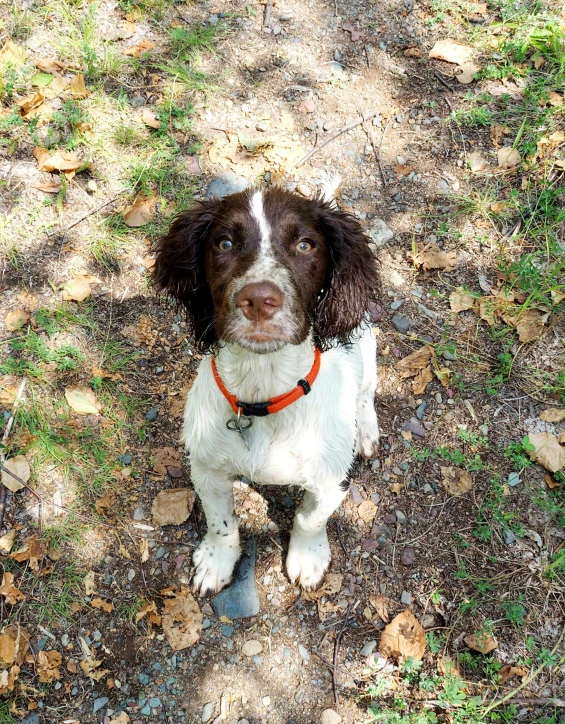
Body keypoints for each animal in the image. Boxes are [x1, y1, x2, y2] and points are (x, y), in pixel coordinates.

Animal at [152, 180, 378, 592]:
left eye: (305, 245)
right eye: (224, 243)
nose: (258, 299)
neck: (264, 393)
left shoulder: (329, 480)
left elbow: (310, 520)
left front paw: (308, 558)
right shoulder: (206, 469)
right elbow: (221, 521)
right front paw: (217, 561)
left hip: (367, 343)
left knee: (366, 392)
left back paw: (366, 430)